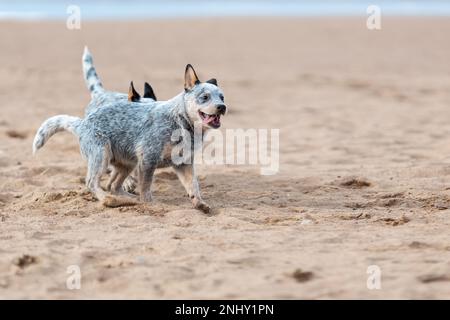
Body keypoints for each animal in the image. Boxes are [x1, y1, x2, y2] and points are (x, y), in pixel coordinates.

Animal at [33, 47, 227, 212]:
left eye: (222, 97)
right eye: (205, 97)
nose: (222, 107)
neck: (181, 123)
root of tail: (82, 123)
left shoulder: (183, 163)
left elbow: (193, 185)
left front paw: (200, 203)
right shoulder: (148, 159)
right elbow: (146, 187)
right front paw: (150, 204)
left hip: (127, 162)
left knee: (113, 185)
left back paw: (125, 199)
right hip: (101, 155)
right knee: (92, 182)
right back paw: (109, 200)